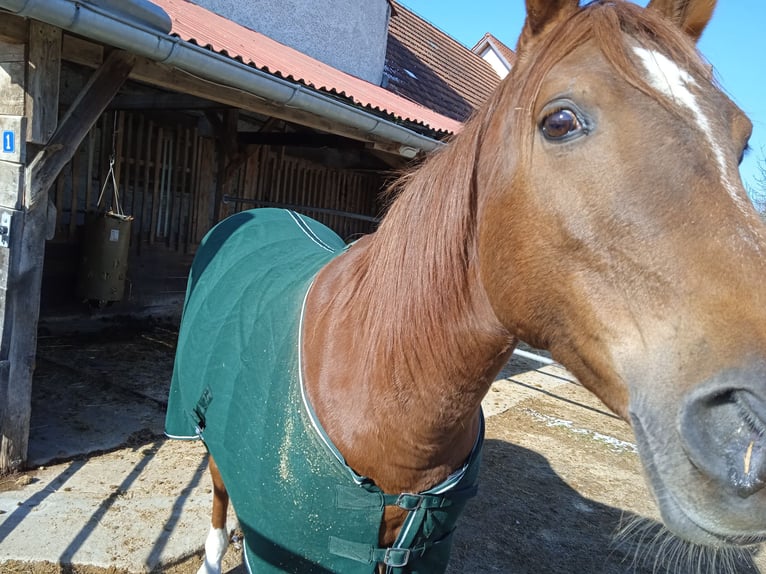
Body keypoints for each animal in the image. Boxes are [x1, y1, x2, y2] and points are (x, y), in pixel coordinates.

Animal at [166, 0, 766, 572]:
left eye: (741, 140)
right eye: (559, 121)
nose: (749, 433)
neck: (377, 383)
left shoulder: (426, 550)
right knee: (217, 487)